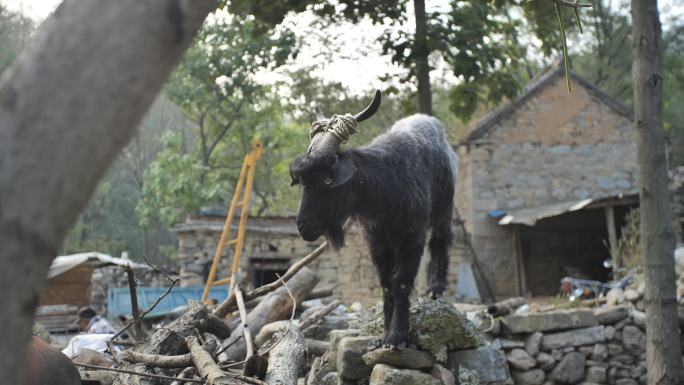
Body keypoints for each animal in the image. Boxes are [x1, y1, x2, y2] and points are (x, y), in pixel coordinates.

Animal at [290, 91, 460, 348]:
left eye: (327, 181)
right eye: (302, 182)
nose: (303, 226)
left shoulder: (412, 237)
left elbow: (401, 281)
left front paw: (398, 337)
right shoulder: (376, 241)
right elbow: (386, 284)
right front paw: (385, 335)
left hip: (444, 205)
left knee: (441, 240)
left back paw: (435, 288)